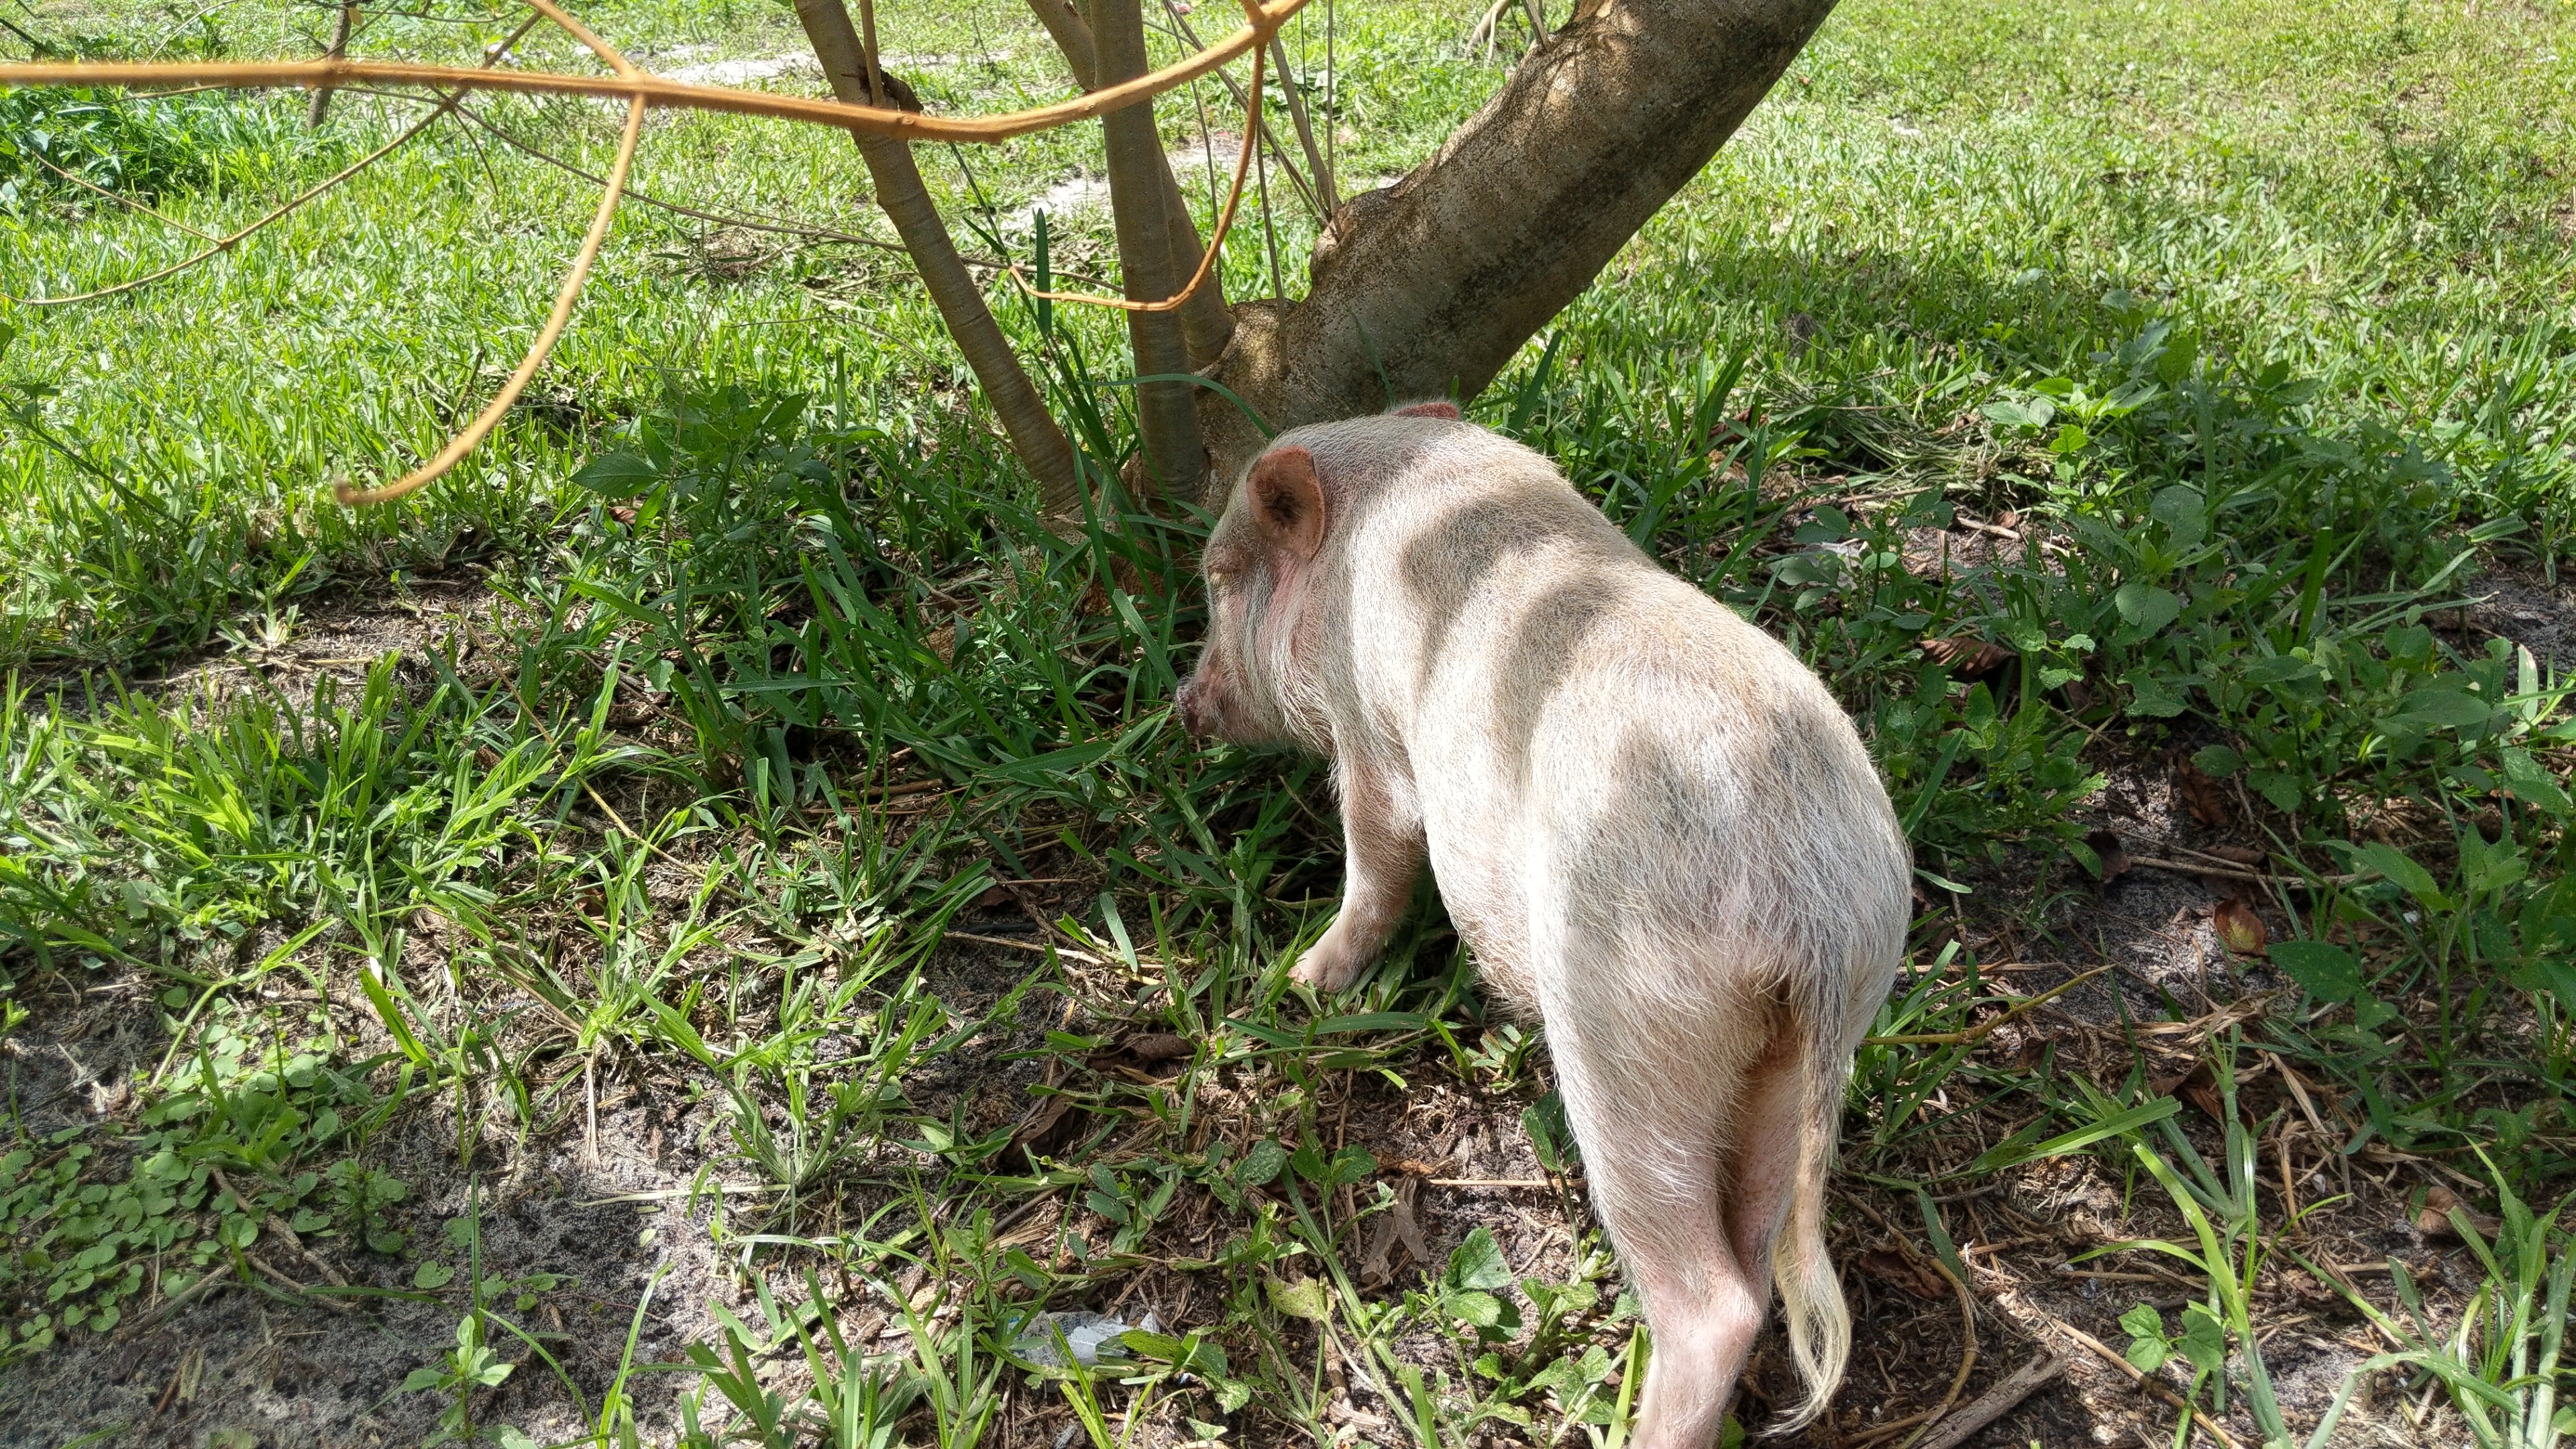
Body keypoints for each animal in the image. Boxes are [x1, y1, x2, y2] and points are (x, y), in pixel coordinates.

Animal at [1175, 399, 1916, 1433]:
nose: (1183, 703)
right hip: (1810, 1050)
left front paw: (1303, 982)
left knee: (1712, 1299)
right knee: (1761, 1247)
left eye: (1219, 580)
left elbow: (1378, 853)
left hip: (1627, 1025)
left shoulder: (1372, 736)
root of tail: (1813, 916)